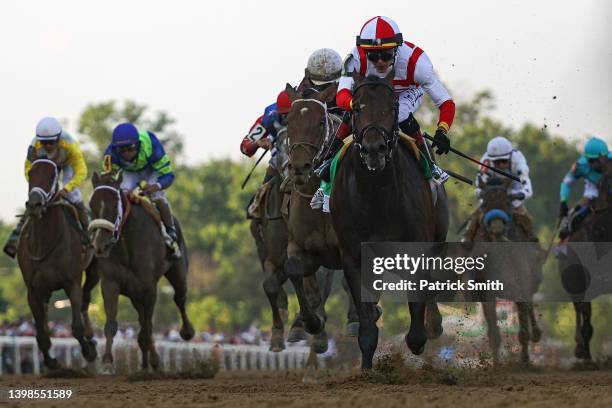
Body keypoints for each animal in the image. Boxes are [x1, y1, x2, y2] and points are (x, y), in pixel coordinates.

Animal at [17, 159, 98, 370]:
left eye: (53, 175)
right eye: (31, 172)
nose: (34, 204)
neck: (45, 241)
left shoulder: (72, 282)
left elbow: (76, 327)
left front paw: (89, 351)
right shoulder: (33, 290)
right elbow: (41, 333)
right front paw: (51, 361)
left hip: (94, 270)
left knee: (86, 299)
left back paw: (91, 338)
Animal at [88, 172, 192, 372]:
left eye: (115, 204)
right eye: (91, 204)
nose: (100, 246)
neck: (126, 244)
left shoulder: (149, 288)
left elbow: (147, 328)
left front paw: (150, 363)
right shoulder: (110, 282)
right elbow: (112, 324)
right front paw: (107, 362)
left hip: (178, 273)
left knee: (179, 299)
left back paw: (186, 332)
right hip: (134, 294)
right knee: (144, 320)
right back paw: (148, 361)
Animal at [330, 72, 450, 370]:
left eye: (393, 107)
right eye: (357, 108)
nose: (374, 149)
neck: (377, 197)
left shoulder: (416, 250)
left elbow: (416, 326)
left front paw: (421, 335)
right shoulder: (353, 256)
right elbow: (366, 323)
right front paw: (366, 367)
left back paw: (433, 324)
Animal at [470, 177, 544, 364]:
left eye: (506, 201)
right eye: (484, 202)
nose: (496, 226)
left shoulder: (520, 285)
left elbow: (523, 328)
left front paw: (525, 360)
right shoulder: (487, 292)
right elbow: (493, 331)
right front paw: (496, 364)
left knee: (529, 306)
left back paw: (536, 334)